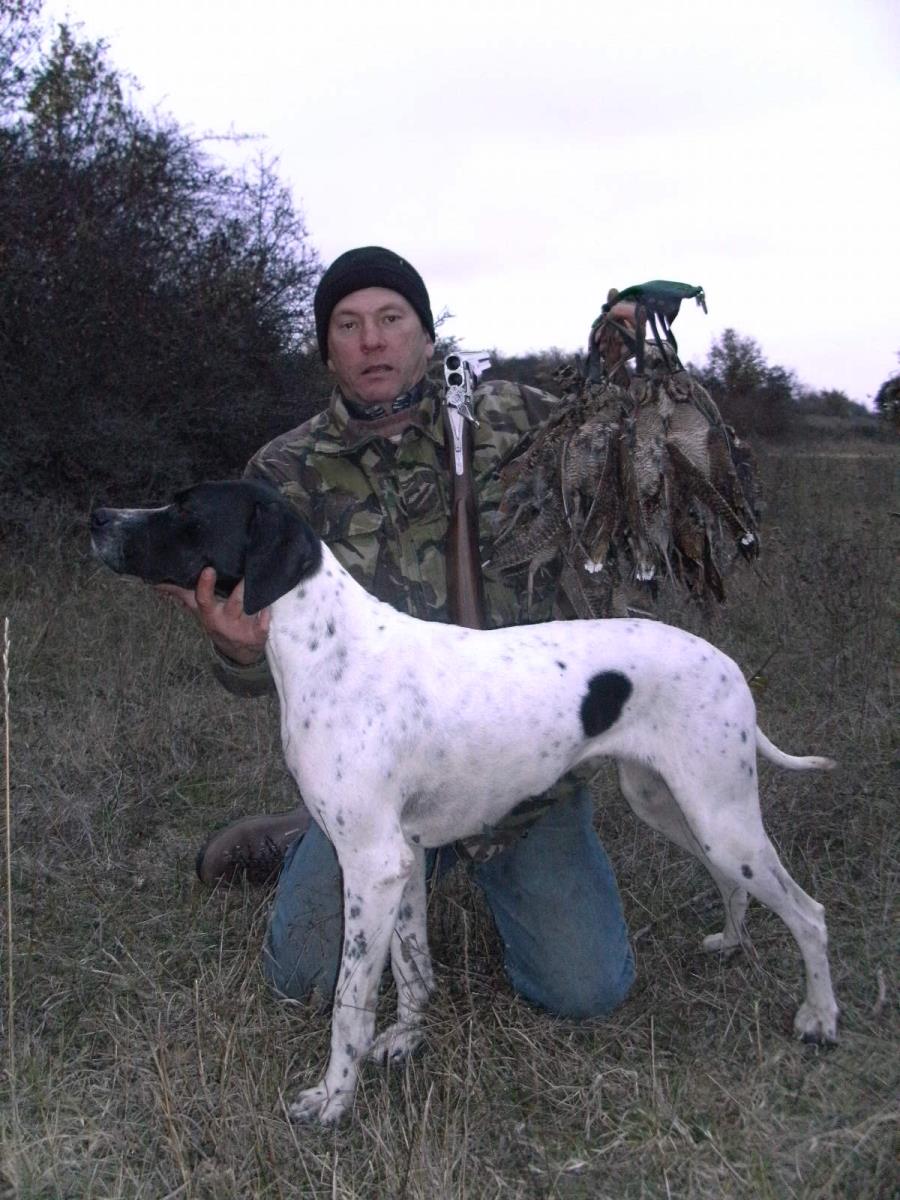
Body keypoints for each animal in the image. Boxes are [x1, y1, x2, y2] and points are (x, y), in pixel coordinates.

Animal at [91, 479, 838, 1126]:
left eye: (187, 509)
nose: (98, 517)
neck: (329, 648)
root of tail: (728, 665)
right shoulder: (404, 863)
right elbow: (412, 968)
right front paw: (406, 1040)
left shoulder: (371, 864)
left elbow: (349, 1003)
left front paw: (334, 1100)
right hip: (676, 807)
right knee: (732, 885)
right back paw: (733, 943)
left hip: (720, 818)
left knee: (809, 913)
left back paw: (820, 1018)